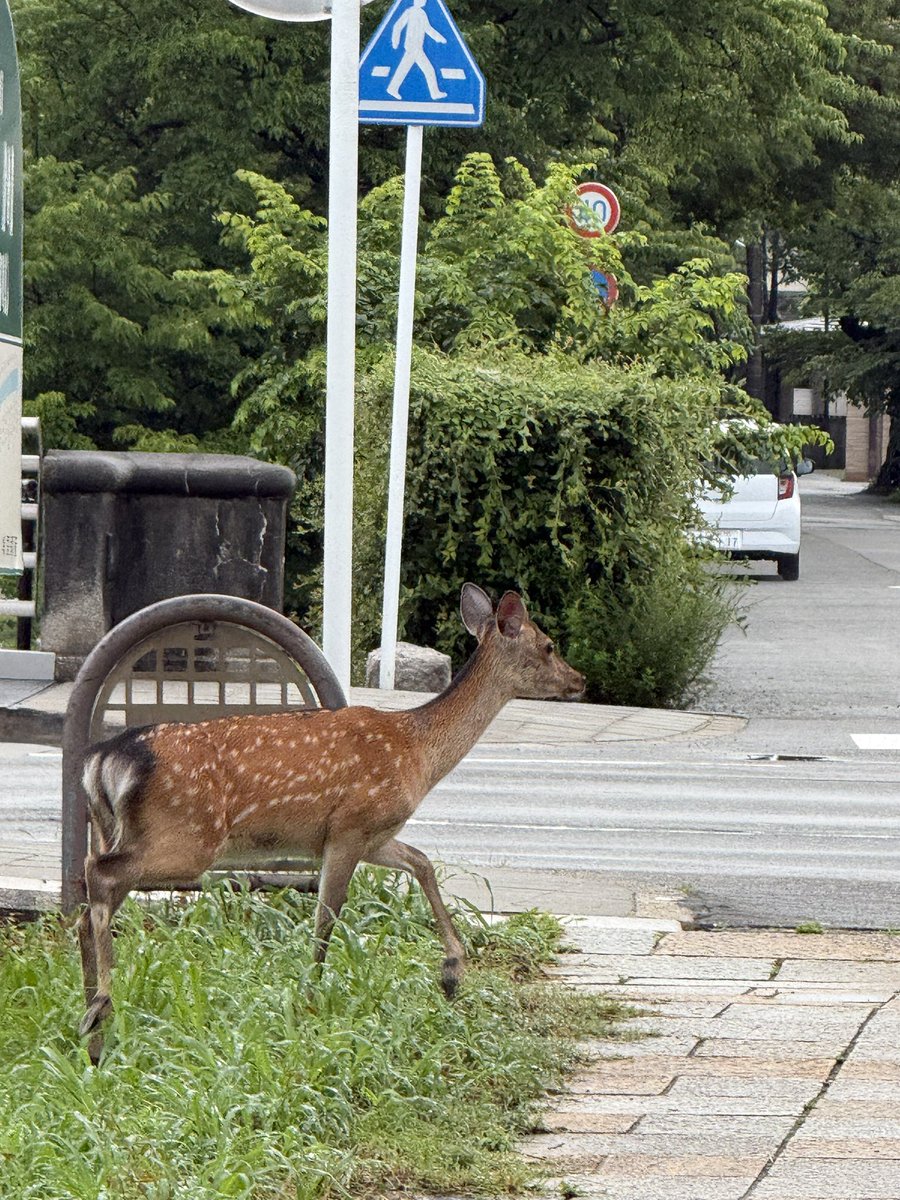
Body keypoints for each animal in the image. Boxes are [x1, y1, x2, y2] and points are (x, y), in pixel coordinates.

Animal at [76, 583, 584, 1051]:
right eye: (548, 645)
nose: (579, 680)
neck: (417, 752)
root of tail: (102, 760)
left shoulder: (375, 833)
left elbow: (422, 862)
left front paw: (452, 971)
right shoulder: (351, 826)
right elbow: (327, 917)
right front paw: (310, 998)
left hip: (118, 831)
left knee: (87, 903)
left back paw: (89, 1009)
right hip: (185, 837)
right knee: (95, 872)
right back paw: (101, 1003)